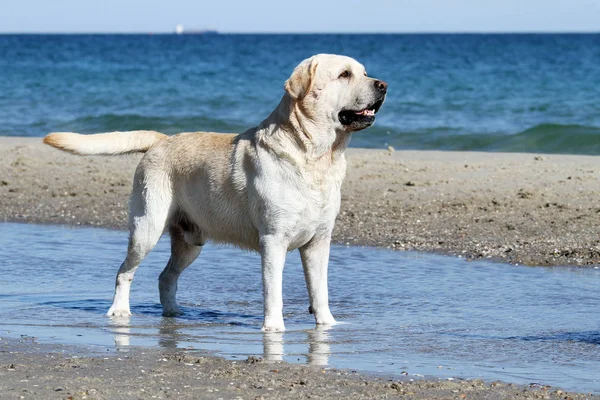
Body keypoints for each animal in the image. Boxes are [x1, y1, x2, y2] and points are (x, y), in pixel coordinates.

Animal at [44, 54, 386, 332]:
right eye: (344, 74)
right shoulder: (273, 240)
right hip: (147, 228)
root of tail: (161, 139)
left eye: (364, 72)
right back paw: (119, 311)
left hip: (190, 242)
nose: (383, 85)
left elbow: (320, 289)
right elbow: (273, 290)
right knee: (124, 272)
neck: (315, 156)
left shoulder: (319, 241)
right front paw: (274, 328)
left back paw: (174, 313)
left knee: (166, 277)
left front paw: (327, 324)